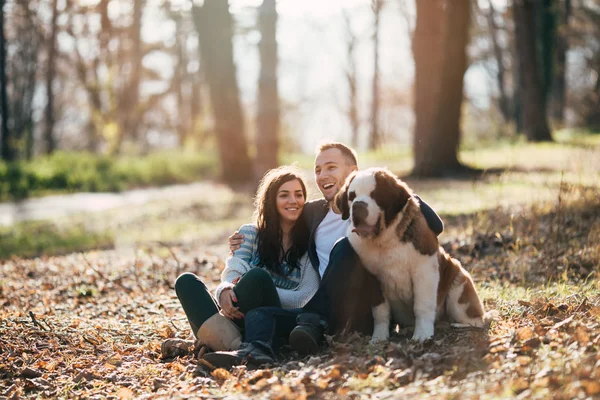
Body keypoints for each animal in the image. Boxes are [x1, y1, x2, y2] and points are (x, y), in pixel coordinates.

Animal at [336, 167, 486, 342]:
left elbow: (422, 305)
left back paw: (459, 325)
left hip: (459, 285)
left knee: (476, 319)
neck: (385, 240)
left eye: (375, 195)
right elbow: (380, 311)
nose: (358, 206)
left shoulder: (424, 270)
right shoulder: (373, 277)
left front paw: (422, 334)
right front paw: (379, 337)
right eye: (351, 197)